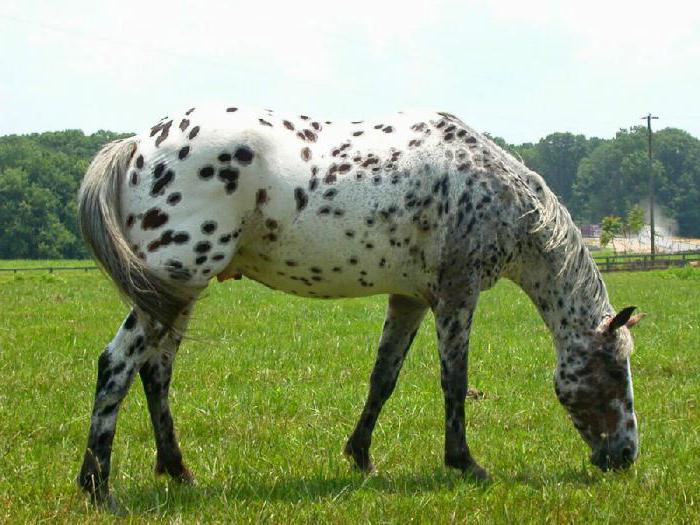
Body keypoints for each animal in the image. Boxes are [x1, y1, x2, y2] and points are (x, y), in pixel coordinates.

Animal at [78, 104, 644, 502]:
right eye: (615, 369)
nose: (625, 455)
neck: (491, 189)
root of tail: (137, 146)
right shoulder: (456, 295)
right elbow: (454, 380)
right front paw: (464, 462)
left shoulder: (410, 298)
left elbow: (383, 378)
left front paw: (361, 456)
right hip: (176, 279)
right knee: (116, 364)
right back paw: (97, 486)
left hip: (178, 293)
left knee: (155, 372)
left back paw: (177, 470)